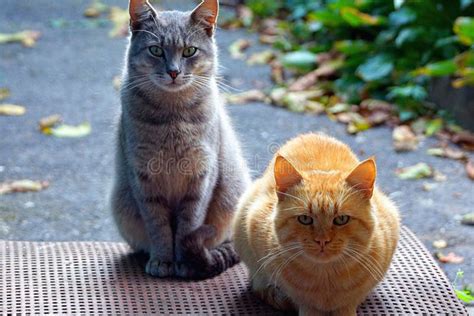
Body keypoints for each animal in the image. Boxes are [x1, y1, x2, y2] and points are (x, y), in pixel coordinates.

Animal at [111, 0, 252, 278]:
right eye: (156, 50)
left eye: (189, 51)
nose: (174, 72)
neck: (172, 118)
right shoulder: (143, 178)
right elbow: (159, 228)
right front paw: (162, 260)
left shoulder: (201, 177)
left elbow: (189, 226)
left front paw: (185, 262)